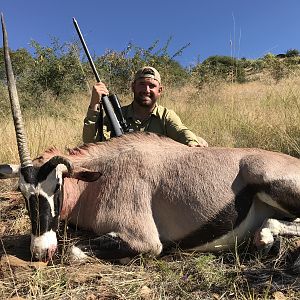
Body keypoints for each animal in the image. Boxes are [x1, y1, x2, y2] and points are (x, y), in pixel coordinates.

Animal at [1, 14, 300, 268]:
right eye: (23, 192)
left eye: (57, 186)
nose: (41, 251)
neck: (97, 179)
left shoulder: (144, 240)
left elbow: (75, 251)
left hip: (268, 180)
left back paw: (265, 238)